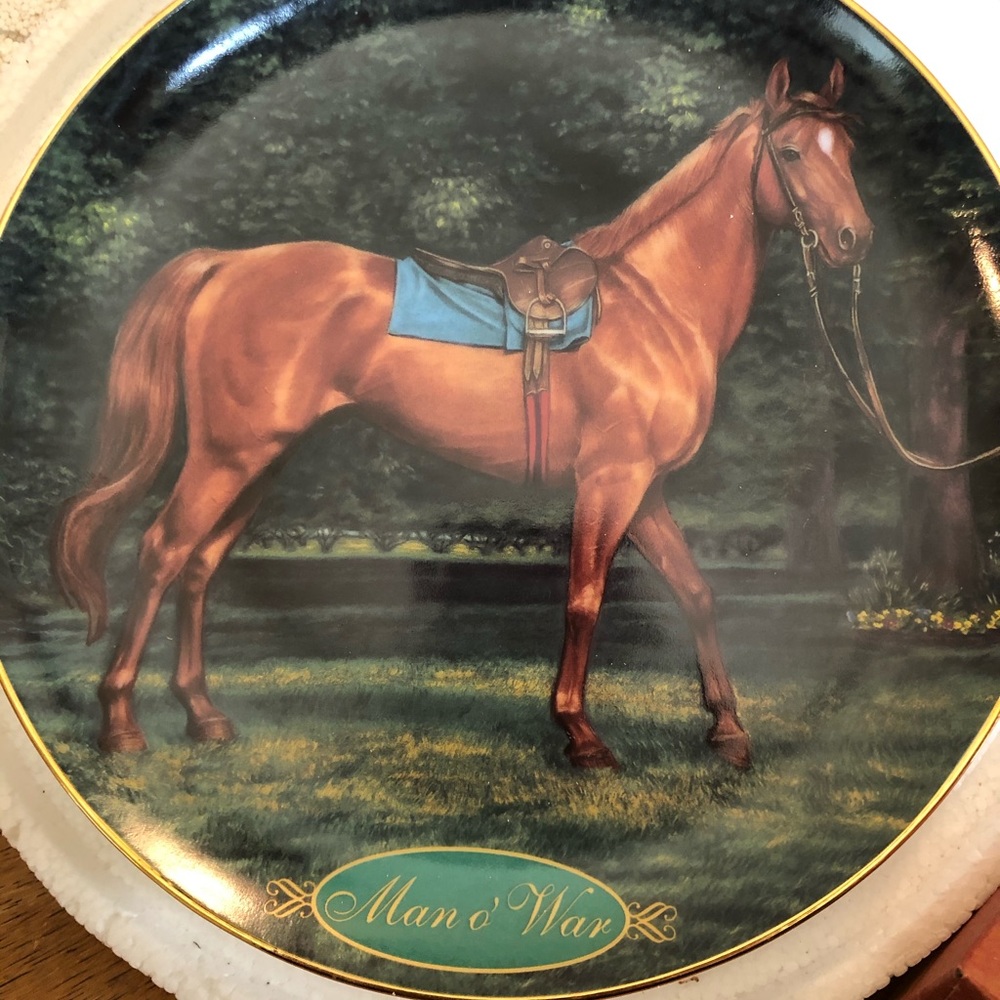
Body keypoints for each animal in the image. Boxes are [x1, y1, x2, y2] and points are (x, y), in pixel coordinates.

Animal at [52, 58, 872, 770]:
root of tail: (225, 264)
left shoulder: (646, 491)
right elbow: (584, 600)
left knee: (199, 566)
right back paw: (121, 722)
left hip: (259, 463)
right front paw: (580, 733)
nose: (853, 240)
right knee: (160, 552)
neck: (654, 306)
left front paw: (727, 728)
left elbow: (697, 593)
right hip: (227, 457)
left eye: (850, 150)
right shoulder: (610, 483)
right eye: (791, 152)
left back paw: (203, 715)